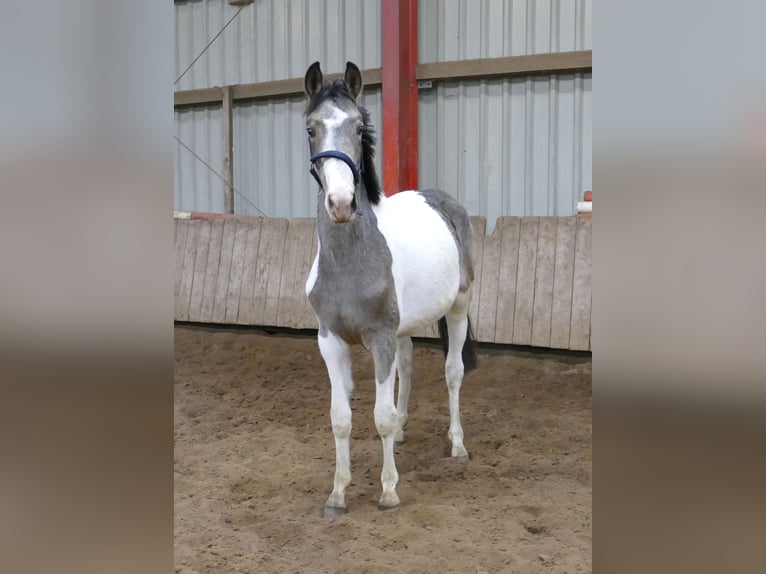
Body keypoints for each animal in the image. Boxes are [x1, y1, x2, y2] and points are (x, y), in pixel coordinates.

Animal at [303, 61, 477, 517]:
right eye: (311, 128)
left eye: (358, 127)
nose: (340, 203)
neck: (351, 261)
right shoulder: (330, 341)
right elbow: (340, 418)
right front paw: (338, 494)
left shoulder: (379, 337)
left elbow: (377, 415)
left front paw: (388, 491)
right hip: (403, 328)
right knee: (408, 364)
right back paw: (401, 433)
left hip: (457, 307)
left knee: (453, 372)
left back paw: (458, 445)